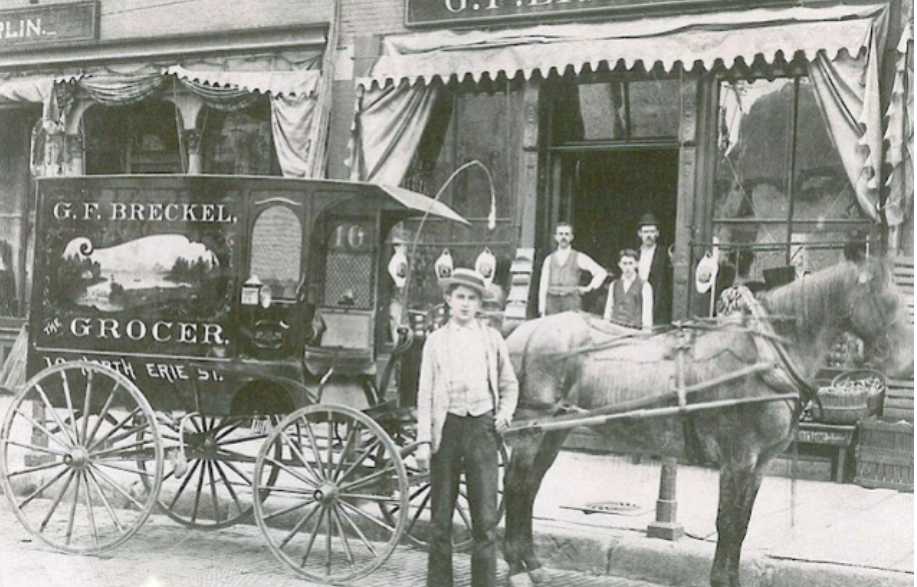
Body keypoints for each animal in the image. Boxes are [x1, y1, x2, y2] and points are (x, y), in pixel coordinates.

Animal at [504, 260, 912, 587]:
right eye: (887, 300)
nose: (906, 362)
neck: (764, 352)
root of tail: (523, 332)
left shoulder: (760, 464)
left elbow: (741, 525)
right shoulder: (738, 459)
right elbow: (727, 524)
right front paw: (720, 579)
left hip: (553, 431)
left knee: (530, 486)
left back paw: (531, 562)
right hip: (530, 428)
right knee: (516, 486)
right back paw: (516, 566)